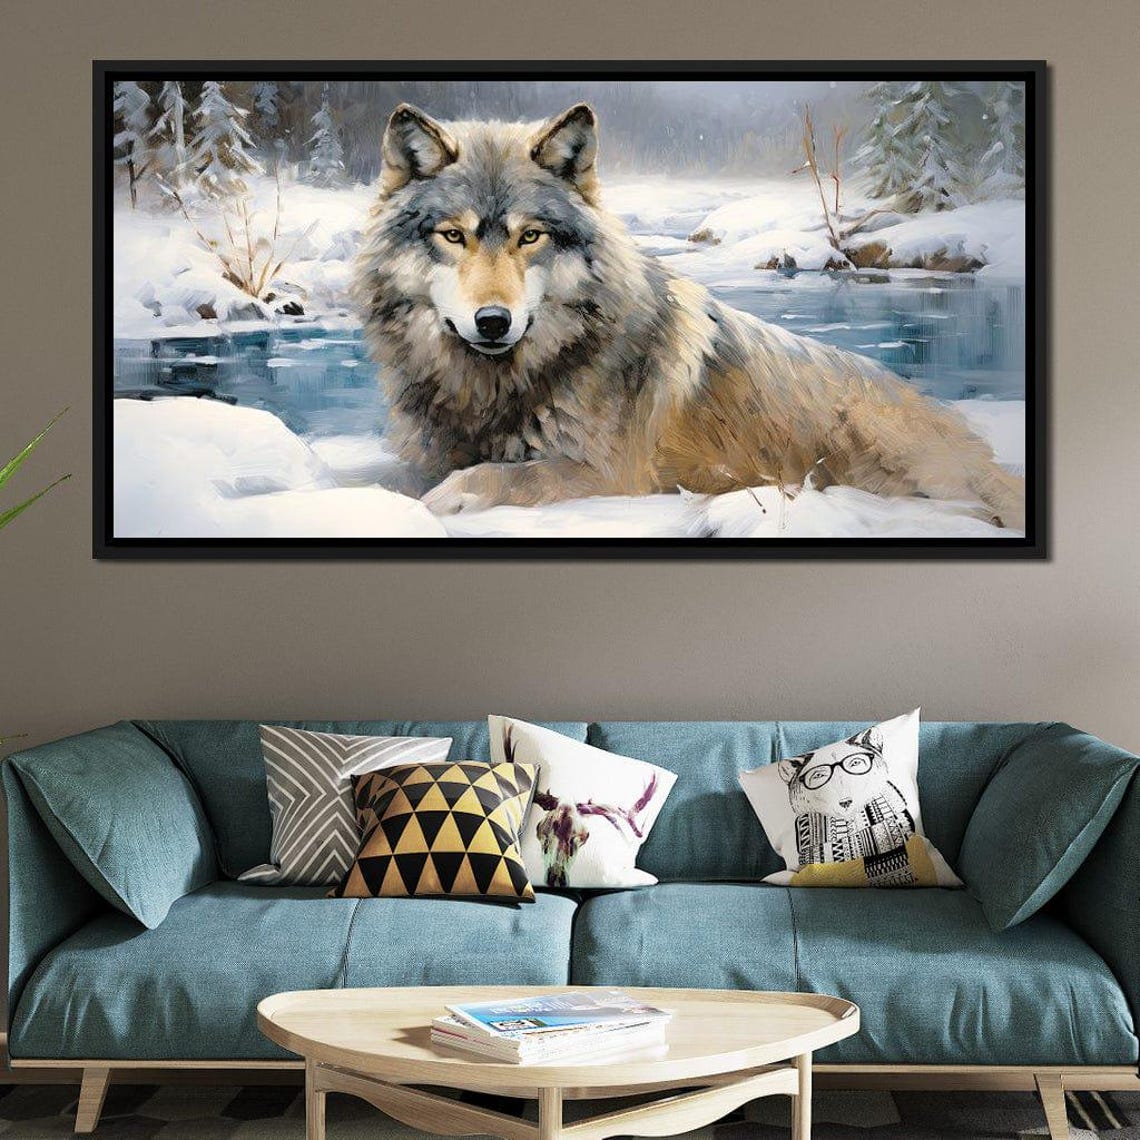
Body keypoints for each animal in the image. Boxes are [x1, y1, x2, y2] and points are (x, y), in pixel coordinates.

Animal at [355, 102, 1024, 529]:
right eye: (453, 235)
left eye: (530, 237)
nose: (494, 321)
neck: (492, 388)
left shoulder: (613, 475)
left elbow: (499, 478)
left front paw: (439, 503)